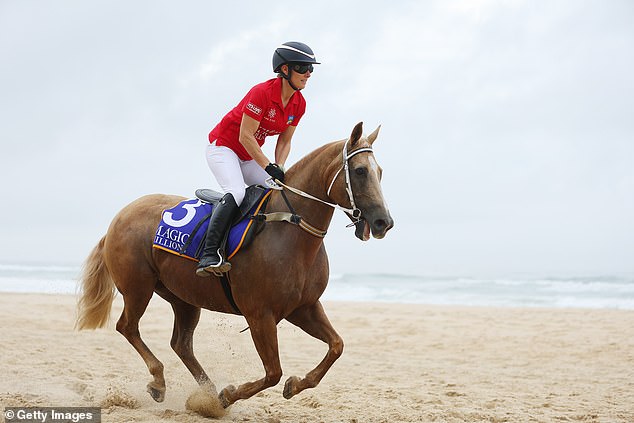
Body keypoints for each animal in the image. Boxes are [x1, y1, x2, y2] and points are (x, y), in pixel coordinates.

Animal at [76, 122, 392, 410]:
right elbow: (273, 372)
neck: (289, 227)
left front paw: (295, 384)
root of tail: (120, 216)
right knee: (127, 327)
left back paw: (205, 392)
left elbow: (336, 346)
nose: (383, 222)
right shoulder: (260, 315)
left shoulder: (304, 308)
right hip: (138, 288)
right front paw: (228, 395)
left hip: (183, 297)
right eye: (360, 171)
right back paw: (160, 381)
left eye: (380, 172)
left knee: (181, 344)